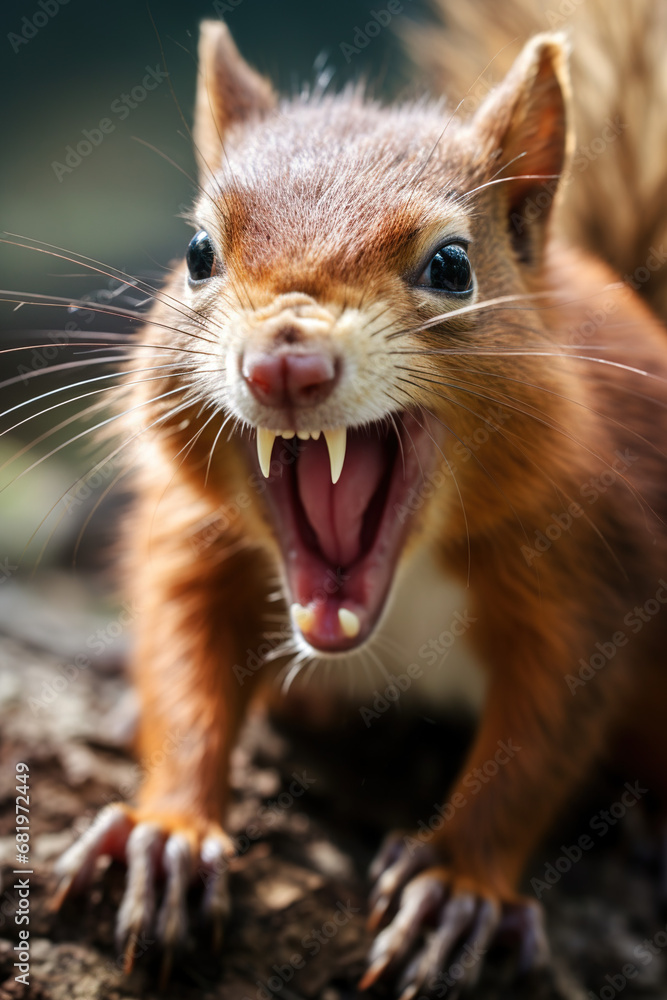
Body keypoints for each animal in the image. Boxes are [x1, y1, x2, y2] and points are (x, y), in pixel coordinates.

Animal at [52, 0, 667, 993]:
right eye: (197, 254)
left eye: (452, 266)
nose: (285, 362)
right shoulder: (194, 540)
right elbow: (182, 661)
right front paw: (169, 831)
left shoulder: (589, 576)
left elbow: (541, 742)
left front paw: (456, 885)